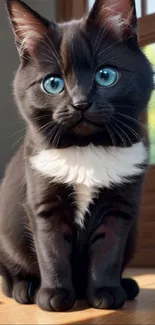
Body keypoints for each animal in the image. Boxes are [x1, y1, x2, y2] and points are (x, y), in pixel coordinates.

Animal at [0, 0, 153, 312]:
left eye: (105, 75)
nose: (80, 103)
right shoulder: (44, 204)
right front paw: (54, 295)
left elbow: (108, 252)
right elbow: (51, 251)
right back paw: (25, 288)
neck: (86, 148)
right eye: (53, 83)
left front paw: (106, 292)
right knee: (10, 275)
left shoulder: (119, 208)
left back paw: (126, 286)